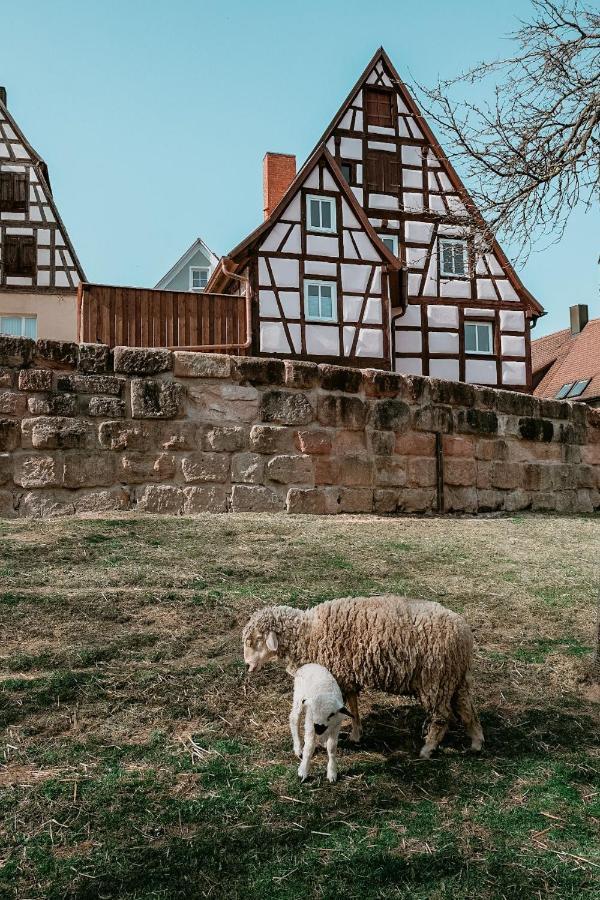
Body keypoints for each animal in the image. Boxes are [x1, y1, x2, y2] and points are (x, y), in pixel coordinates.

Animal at [241, 596, 486, 760]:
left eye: (257, 639)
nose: (247, 665)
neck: (307, 633)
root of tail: (465, 635)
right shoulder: (346, 676)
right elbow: (354, 706)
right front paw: (356, 734)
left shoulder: (336, 678)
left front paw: (325, 740)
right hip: (454, 679)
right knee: (467, 710)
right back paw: (476, 743)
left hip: (434, 680)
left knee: (442, 717)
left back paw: (427, 749)